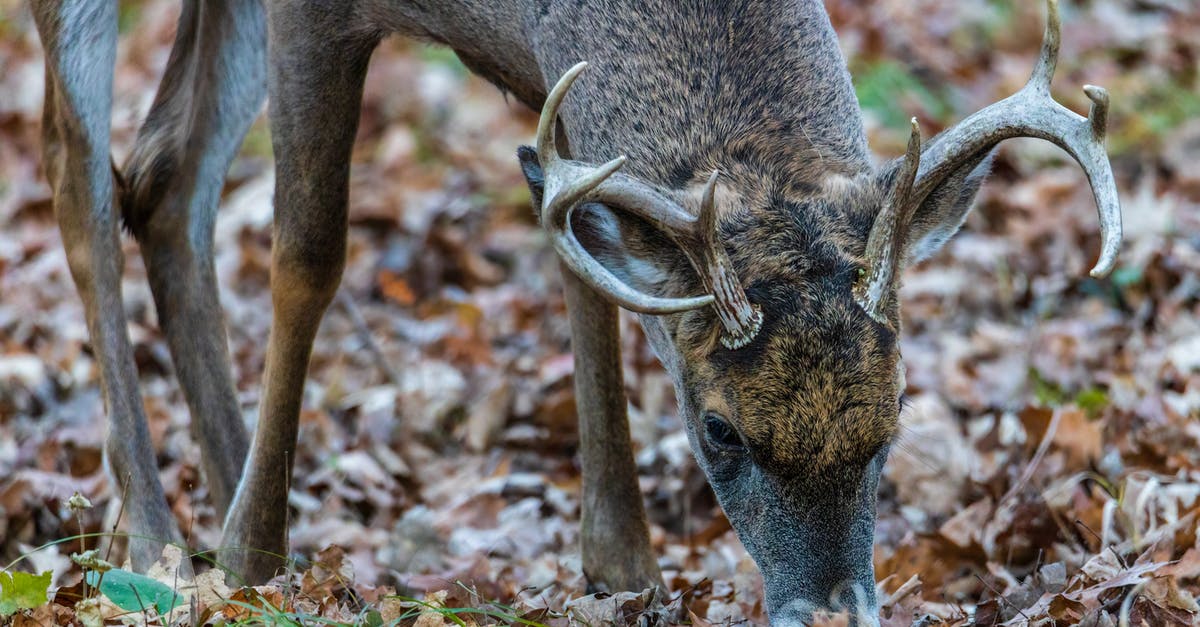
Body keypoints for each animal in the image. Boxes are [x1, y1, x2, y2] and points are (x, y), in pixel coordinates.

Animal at [31, 0, 1120, 623]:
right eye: (720, 430)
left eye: (895, 417)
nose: (830, 613)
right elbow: (309, 250)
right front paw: (254, 558)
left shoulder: (549, 79)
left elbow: (582, 254)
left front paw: (620, 566)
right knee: (77, 167)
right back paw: (162, 540)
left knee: (166, 172)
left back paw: (220, 486)